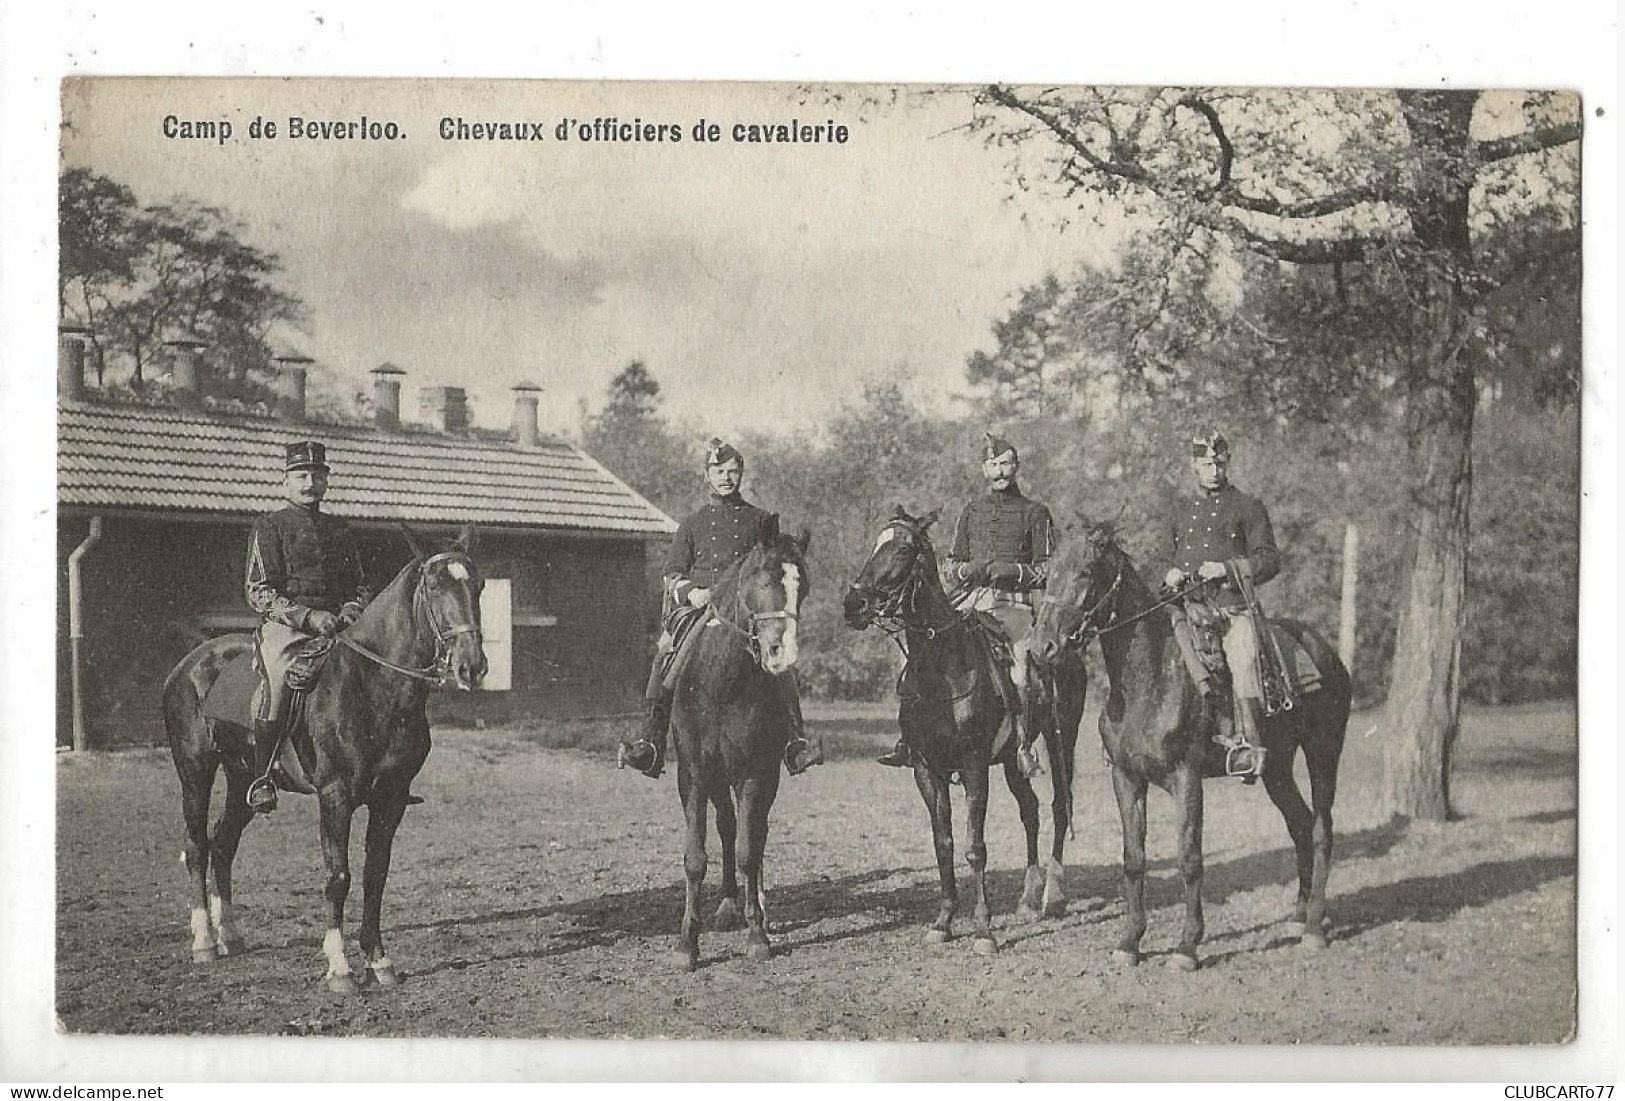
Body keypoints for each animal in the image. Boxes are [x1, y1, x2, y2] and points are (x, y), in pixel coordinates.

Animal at [161, 522, 484, 993]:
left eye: (478, 585)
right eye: (436, 585)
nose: (471, 667)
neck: (373, 685)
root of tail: (188, 664)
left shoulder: (390, 800)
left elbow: (375, 875)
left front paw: (379, 962)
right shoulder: (335, 797)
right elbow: (339, 877)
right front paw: (340, 967)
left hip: (243, 779)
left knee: (223, 845)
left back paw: (231, 936)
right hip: (195, 773)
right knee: (197, 847)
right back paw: (204, 941)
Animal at [669, 513, 809, 967]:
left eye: (803, 586)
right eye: (760, 578)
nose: (782, 655)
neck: (722, 682)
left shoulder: (754, 773)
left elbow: (751, 850)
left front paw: (757, 935)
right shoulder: (695, 774)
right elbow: (696, 857)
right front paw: (687, 943)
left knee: (755, 834)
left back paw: (756, 907)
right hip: (717, 778)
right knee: (728, 826)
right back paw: (729, 904)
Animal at [838, 509, 1092, 954]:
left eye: (904, 549)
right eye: (875, 544)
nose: (855, 604)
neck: (942, 671)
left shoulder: (974, 766)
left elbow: (975, 847)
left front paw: (984, 929)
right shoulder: (926, 769)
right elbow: (944, 844)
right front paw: (943, 921)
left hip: (1063, 739)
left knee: (1060, 807)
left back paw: (1053, 897)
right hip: (1012, 759)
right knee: (1030, 810)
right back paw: (1028, 898)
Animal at [1027, 526, 1358, 974]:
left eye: (1085, 572)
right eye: (1048, 574)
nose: (1041, 647)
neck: (1147, 679)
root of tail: (1326, 651)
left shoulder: (1186, 778)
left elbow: (1189, 857)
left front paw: (1187, 946)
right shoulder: (1126, 778)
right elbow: (1134, 858)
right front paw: (1130, 942)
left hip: (1323, 753)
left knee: (1322, 830)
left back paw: (1314, 927)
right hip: (1277, 769)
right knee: (1301, 825)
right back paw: (1300, 915)